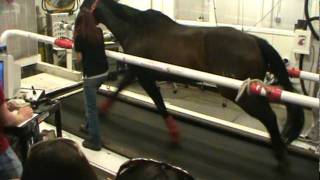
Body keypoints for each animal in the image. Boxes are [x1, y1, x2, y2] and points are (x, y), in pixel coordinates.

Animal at [79, 0, 304, 160]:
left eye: (81, 10)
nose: (76, 33)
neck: (137, 29)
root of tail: (254, 40)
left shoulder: (145, 77)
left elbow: (160, 105)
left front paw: (175, 134)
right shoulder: (137, 73)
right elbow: (118, 90)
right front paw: (101, 112)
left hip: (238, 92)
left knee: (269, 116)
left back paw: (279, 152)